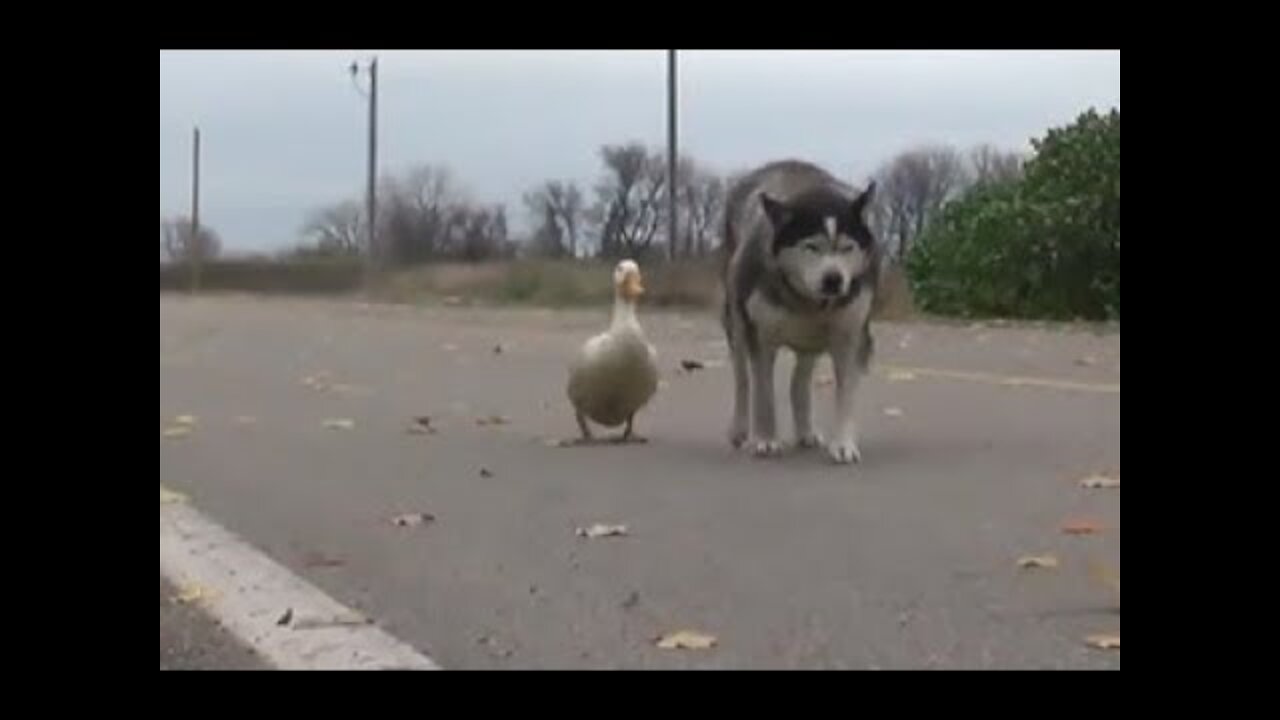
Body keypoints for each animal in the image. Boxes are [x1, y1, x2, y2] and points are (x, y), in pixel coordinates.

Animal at [721, 159, 880, 461]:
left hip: (812, 338)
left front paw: (844, 445)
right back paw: (739, 430)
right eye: (811, 247)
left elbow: (846, 393)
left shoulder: (851, 335)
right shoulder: (761, 336)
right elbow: (763, 393)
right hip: (736, 319)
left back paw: (806, 431)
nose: (833, 279)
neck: (808, 301)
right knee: (742, 378)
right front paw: (765, 439)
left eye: (847, 247)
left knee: (799, 382)